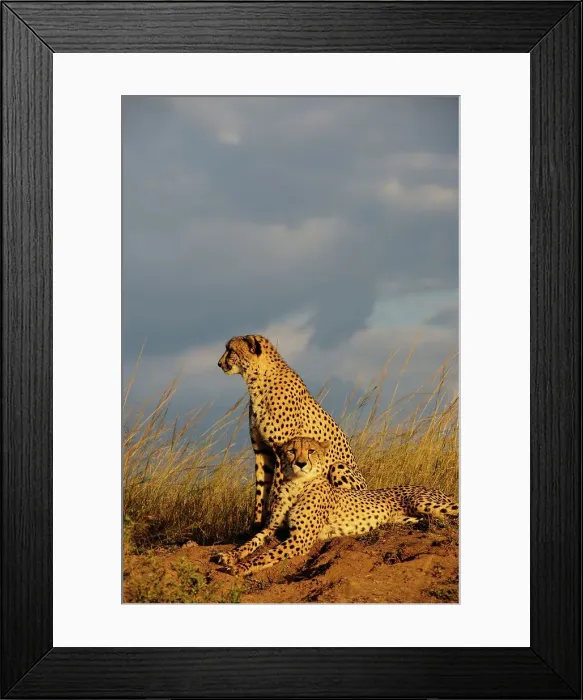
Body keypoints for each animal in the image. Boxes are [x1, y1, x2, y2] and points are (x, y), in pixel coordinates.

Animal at [217, 436, 459, 576]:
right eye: (291, 451)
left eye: (311, 451)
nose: (301, 464)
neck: (296, 485)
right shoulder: (272, 527)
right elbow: (251, 542)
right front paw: (230, 556)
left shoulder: (301, 539)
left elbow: (266, 555)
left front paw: (241, 567)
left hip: (423, 502)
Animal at [218, 335, 367, 528]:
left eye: (231, 350)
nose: (219, 363)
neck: (258, 382)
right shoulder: (262, 451)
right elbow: (261, 488)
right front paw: (257, 523)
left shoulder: (283, 450)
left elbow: (278, 488)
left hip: (339, 468)